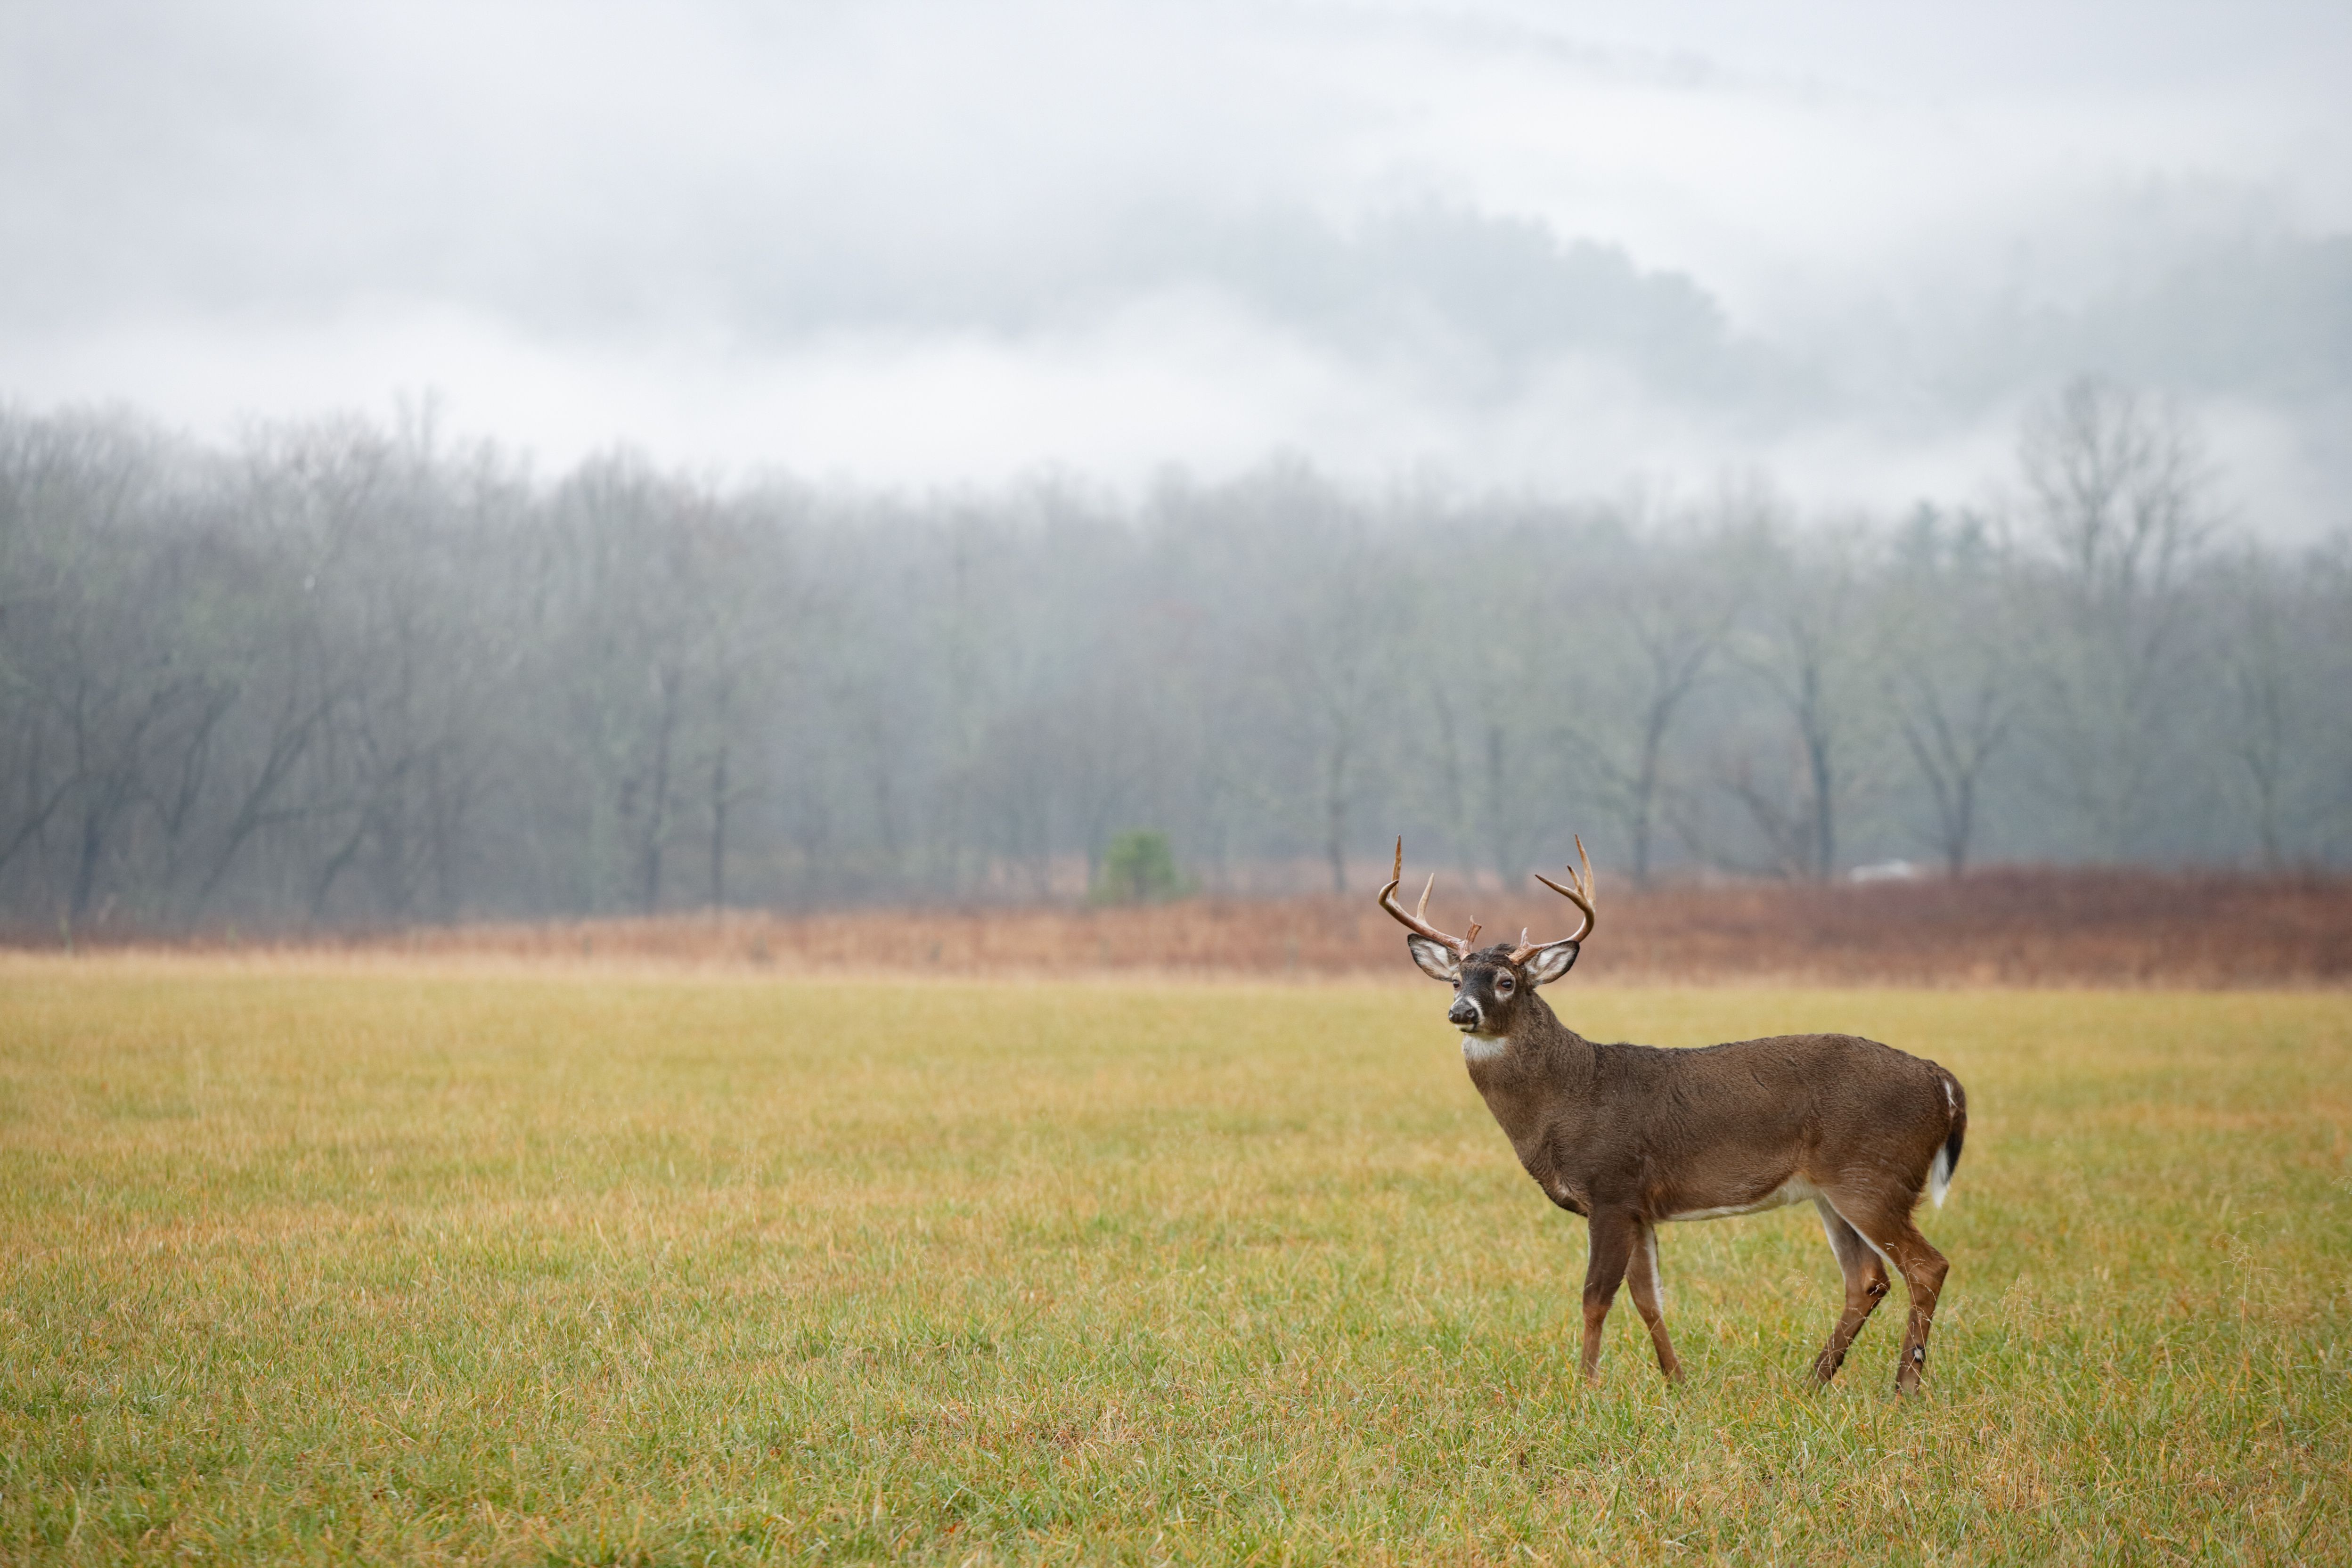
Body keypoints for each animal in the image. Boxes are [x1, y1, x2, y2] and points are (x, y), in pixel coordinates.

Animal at [1373, 841, 1966, 1391]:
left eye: (1506, 982)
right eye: (1455, 980)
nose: (1461, 1012)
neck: (1568, 1098)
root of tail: (1942, 1080)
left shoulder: (1612, 1188)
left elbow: (1596, 1295)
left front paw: (1585, 1386)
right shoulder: (1640, 1207)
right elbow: (1648, 1297)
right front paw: (1676, 1381)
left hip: (1874, 1174)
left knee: (1927, 1266)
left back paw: (1904, 1386)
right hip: (1833, 1189)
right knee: (1867, 1278)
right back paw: (1814, 1380)